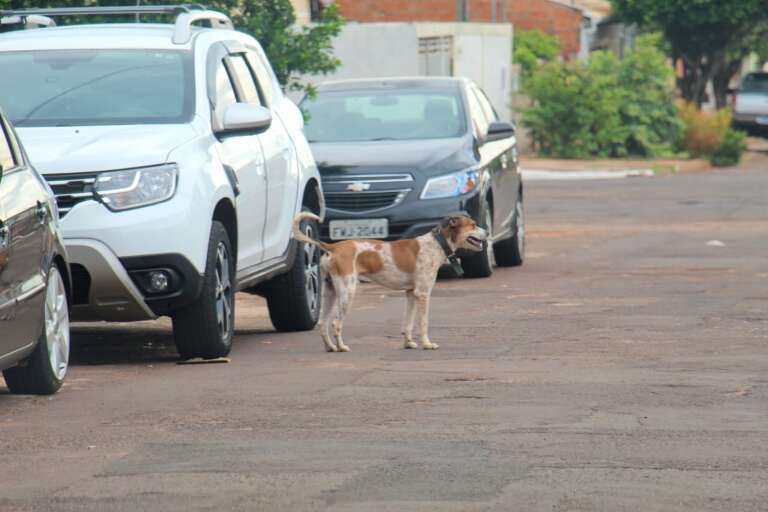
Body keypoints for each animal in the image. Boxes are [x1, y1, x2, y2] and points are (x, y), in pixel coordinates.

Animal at [292, 212, 486, 352]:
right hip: (347, 292)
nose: (487, 232)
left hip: (330, 292)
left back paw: (330, 347)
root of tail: (333, 247)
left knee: (323, 323)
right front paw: (427, 344)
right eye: (473, 225)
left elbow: (408, 323)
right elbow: (423, 323)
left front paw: (408, 343)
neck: (437, 243)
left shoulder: (411, 294)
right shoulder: (423, 294)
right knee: (335, 323)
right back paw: (341, 347)